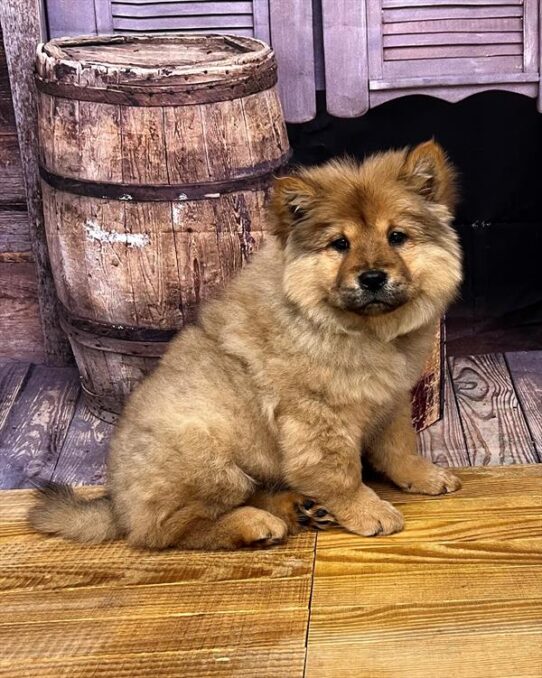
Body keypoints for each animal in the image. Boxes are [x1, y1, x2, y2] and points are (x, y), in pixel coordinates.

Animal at [29, 141, 464, 548]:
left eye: (397, 237)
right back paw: (256, 524)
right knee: (167, 529)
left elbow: (399, 447)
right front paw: (368, 510)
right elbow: (340, 472)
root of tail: (117, 505)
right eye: (340, 244)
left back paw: (300, 507)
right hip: (207, 454)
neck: (359, 330)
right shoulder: (316, 416)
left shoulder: (391, 399)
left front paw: (424, 475)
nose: (373, 277)